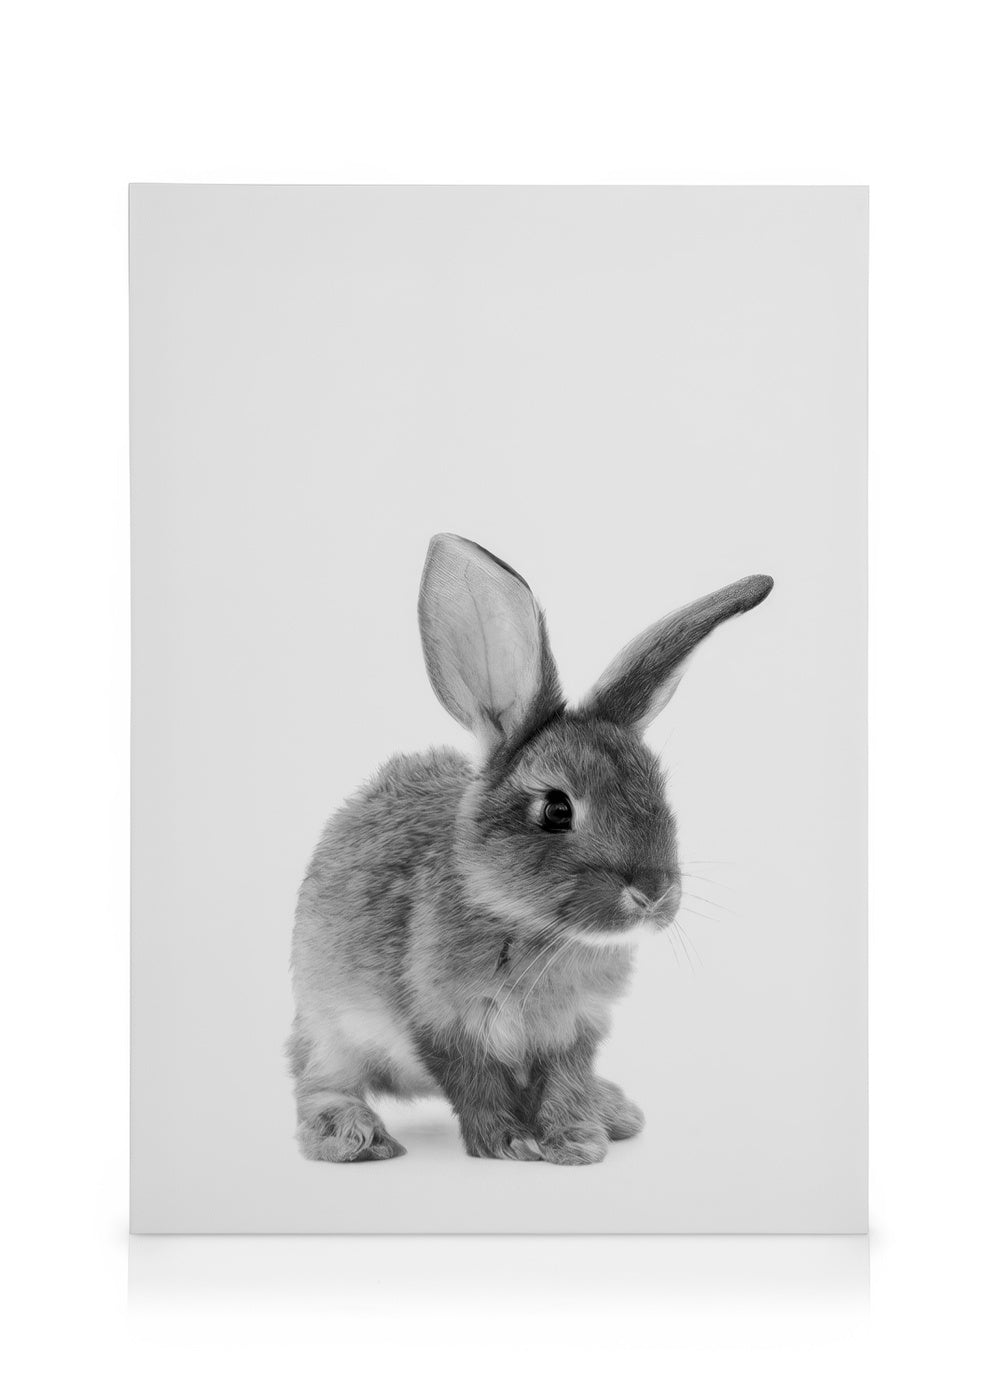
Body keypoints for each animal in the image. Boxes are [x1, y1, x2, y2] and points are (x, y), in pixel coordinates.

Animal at [289, 534, 773, 1165]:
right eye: (556, 810)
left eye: (658, 791)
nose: (653, 892)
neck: (532, 928)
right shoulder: (445, 1024)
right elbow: (476, 1086)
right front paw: (511, 1143)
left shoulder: (573, 1033)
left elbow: (564, 1084)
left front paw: (577, 1140)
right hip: (329, 1023)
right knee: (317, 1079)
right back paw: (351, 1133)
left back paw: (614, 1110)